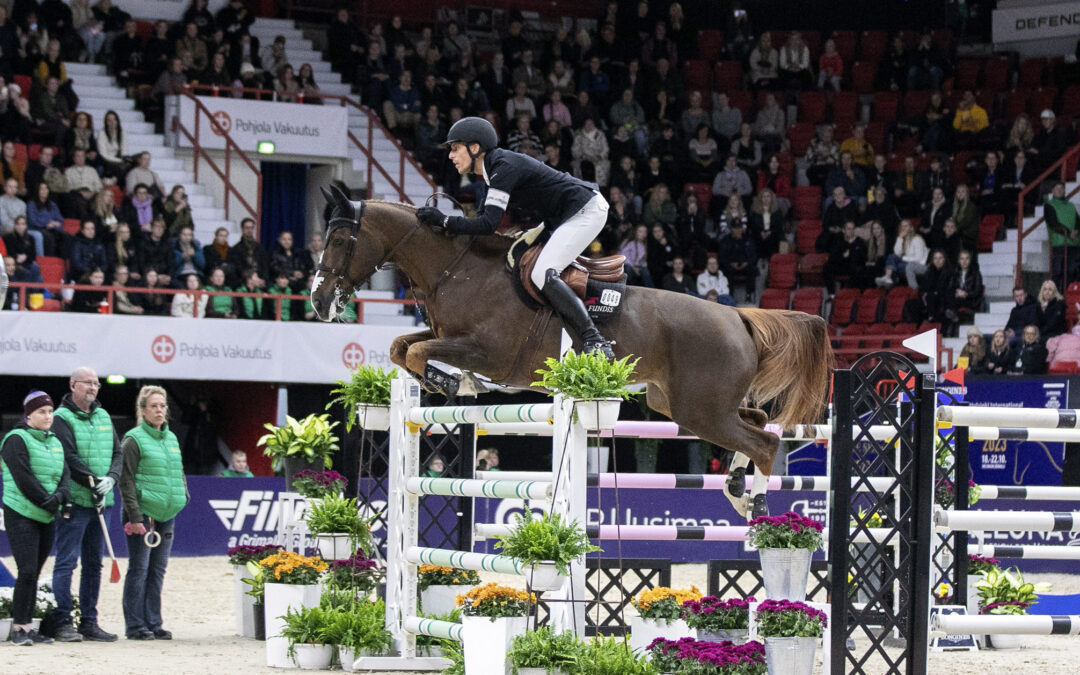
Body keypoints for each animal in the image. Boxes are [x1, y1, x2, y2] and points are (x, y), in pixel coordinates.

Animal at [310, 186, 834, 517]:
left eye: (338, 239)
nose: (318, 300)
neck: (455, 268)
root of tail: (737, 316)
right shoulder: (447, 337)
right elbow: (402, 346)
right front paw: (446, 380)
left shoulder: (486, 351)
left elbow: (420, 352)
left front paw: (448, 381)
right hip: (682, 403)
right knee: (758, 422)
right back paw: (737, 488)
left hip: (699, 409)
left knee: (763, 441)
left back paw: (757, 503)